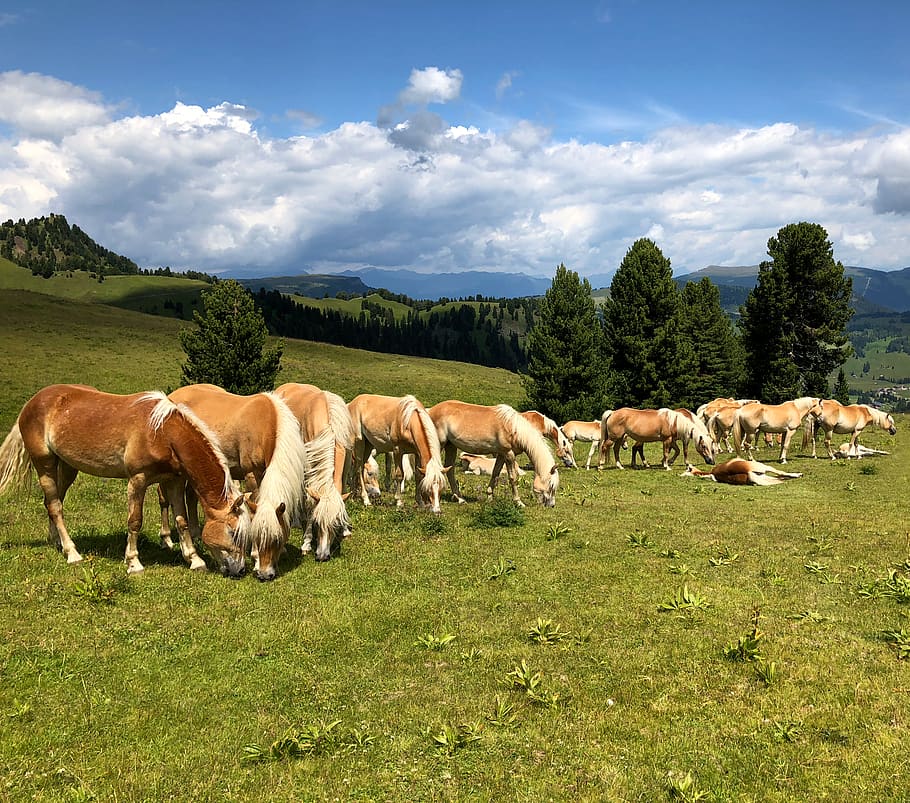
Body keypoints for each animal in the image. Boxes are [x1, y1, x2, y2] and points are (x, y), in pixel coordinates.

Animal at [0, 384, 249, 576]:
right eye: (233, 533)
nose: (240, 570)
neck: (162, 433)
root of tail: (32, 402)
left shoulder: (175, 481)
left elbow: (182, 520)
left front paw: (194, 560)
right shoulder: (137, 481)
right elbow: (135, 521)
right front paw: (133, 563)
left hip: (68, 467)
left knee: (53, 502)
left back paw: (56, 542)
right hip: (45, 464)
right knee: (55, 506)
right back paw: (72, 552)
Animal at [169, 384, 312, 580]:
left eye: (277, 539)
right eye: (257, 536)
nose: (264, 575)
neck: (269, 425)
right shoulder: (252, 475)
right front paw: (254, 555)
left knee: (191, 496)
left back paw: (196, 533)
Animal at [276, 384, 354, 564]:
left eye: (335, 524)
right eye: (318, 523)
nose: (323, 556)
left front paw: (344, 530)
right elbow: (310, 504)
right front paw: (306, 542)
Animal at [430, 402, 564, 508]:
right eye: (551, 485)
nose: (552, 505)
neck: (513, 427)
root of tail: (431, 410)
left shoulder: (501, 454)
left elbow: (495, 474)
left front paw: (489, 497)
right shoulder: (509, 454)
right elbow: (513, 478)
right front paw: (518, 502)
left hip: (450, 446)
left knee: (449, 470)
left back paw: (460, 499)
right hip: (439, 444)